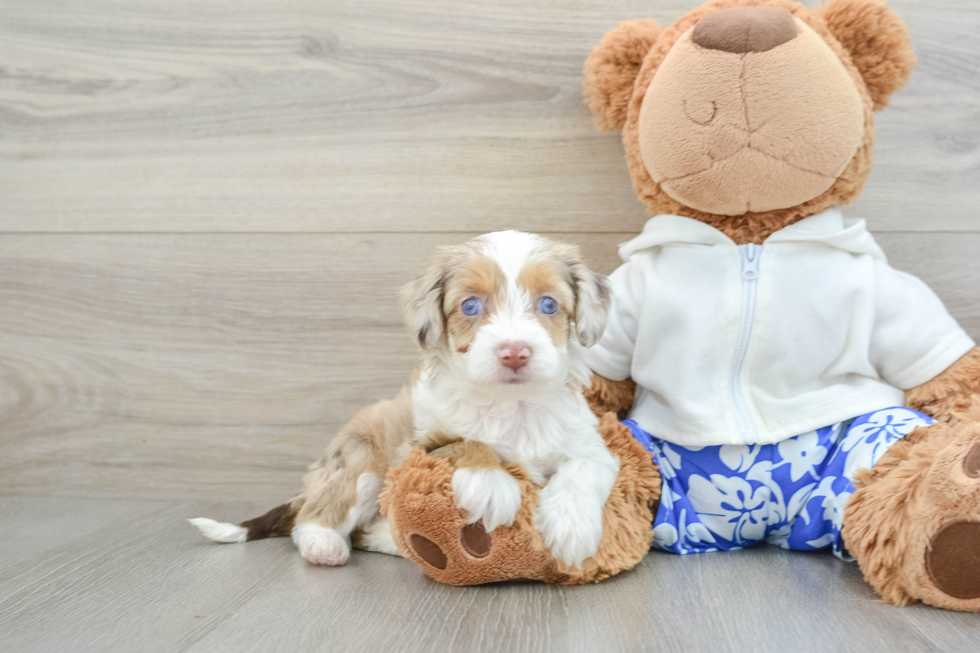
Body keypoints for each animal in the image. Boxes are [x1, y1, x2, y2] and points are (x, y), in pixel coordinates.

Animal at [190, 232, 616, 568]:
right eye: (470, 306)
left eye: (548, 304)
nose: (514, 352)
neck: (513, 405)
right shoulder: (416, 448)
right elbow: (461, 443)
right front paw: (490, 484)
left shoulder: (590, 444)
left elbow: (583, 469)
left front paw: (572, 527)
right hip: (361, 462)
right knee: (316, 517)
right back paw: (324, 544)